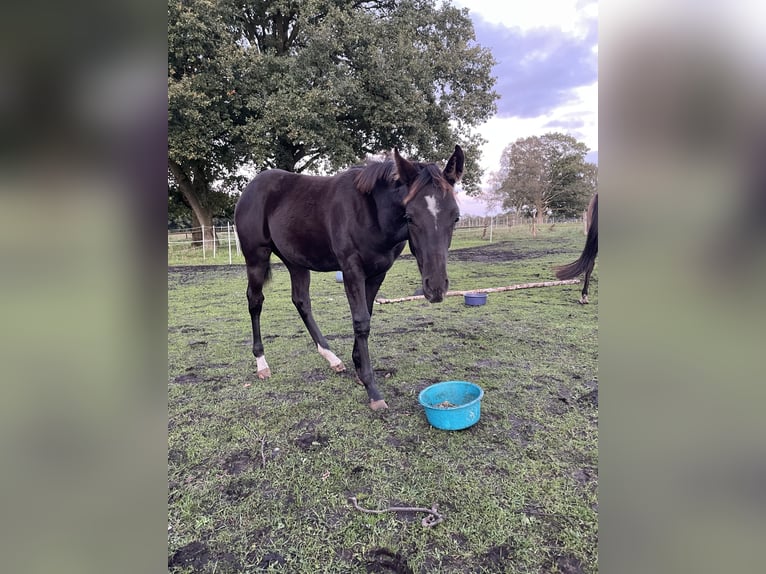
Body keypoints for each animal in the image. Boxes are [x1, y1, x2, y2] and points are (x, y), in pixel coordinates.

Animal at [234, 146, 464, 412]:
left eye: (455, 217)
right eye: (410, 216)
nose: (435, 287)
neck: (372, 212)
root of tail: (252, 187)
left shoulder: (377, 273)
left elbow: (366, 316)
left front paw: (358, 368)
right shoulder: (351, 269)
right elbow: (361, 321)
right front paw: (372, 389)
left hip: (296, 261)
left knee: (301, 301)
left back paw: (332, 358)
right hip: (256, 258)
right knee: (255, 301)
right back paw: (262, 363)